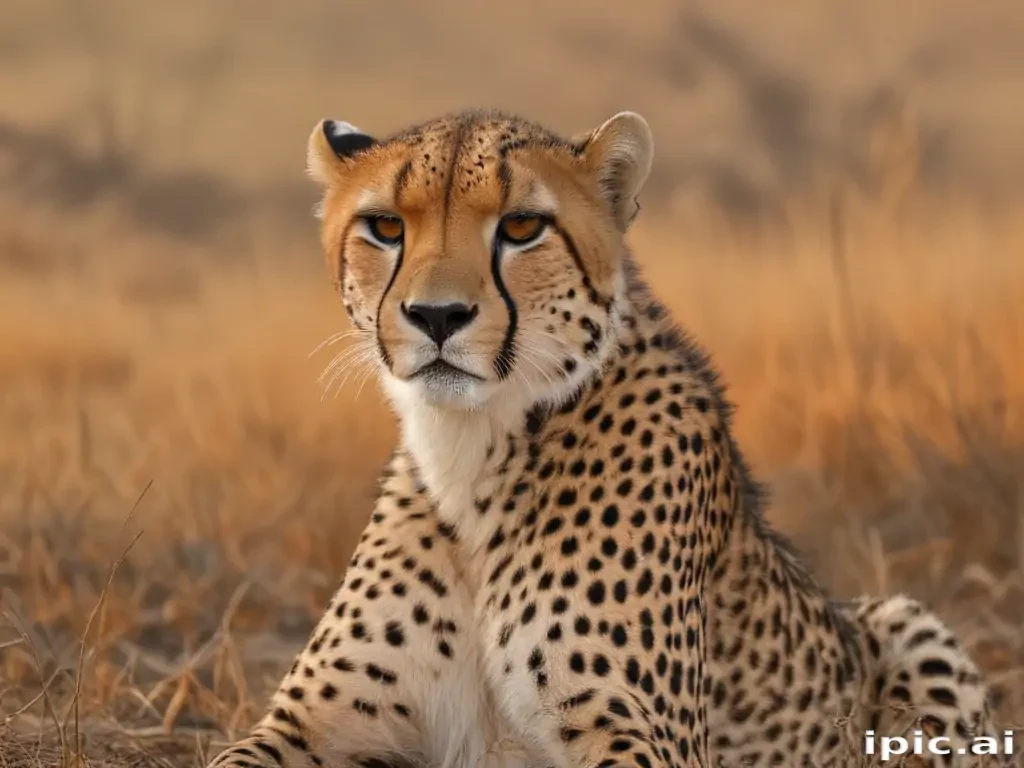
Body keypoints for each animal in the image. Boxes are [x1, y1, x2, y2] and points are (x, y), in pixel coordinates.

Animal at [206, 110, 1003, 768]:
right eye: (386, 227)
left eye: (522, 228)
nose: (437, 316)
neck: (474, 446)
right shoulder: (316, 720)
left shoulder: (636, 732)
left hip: (909, 623)